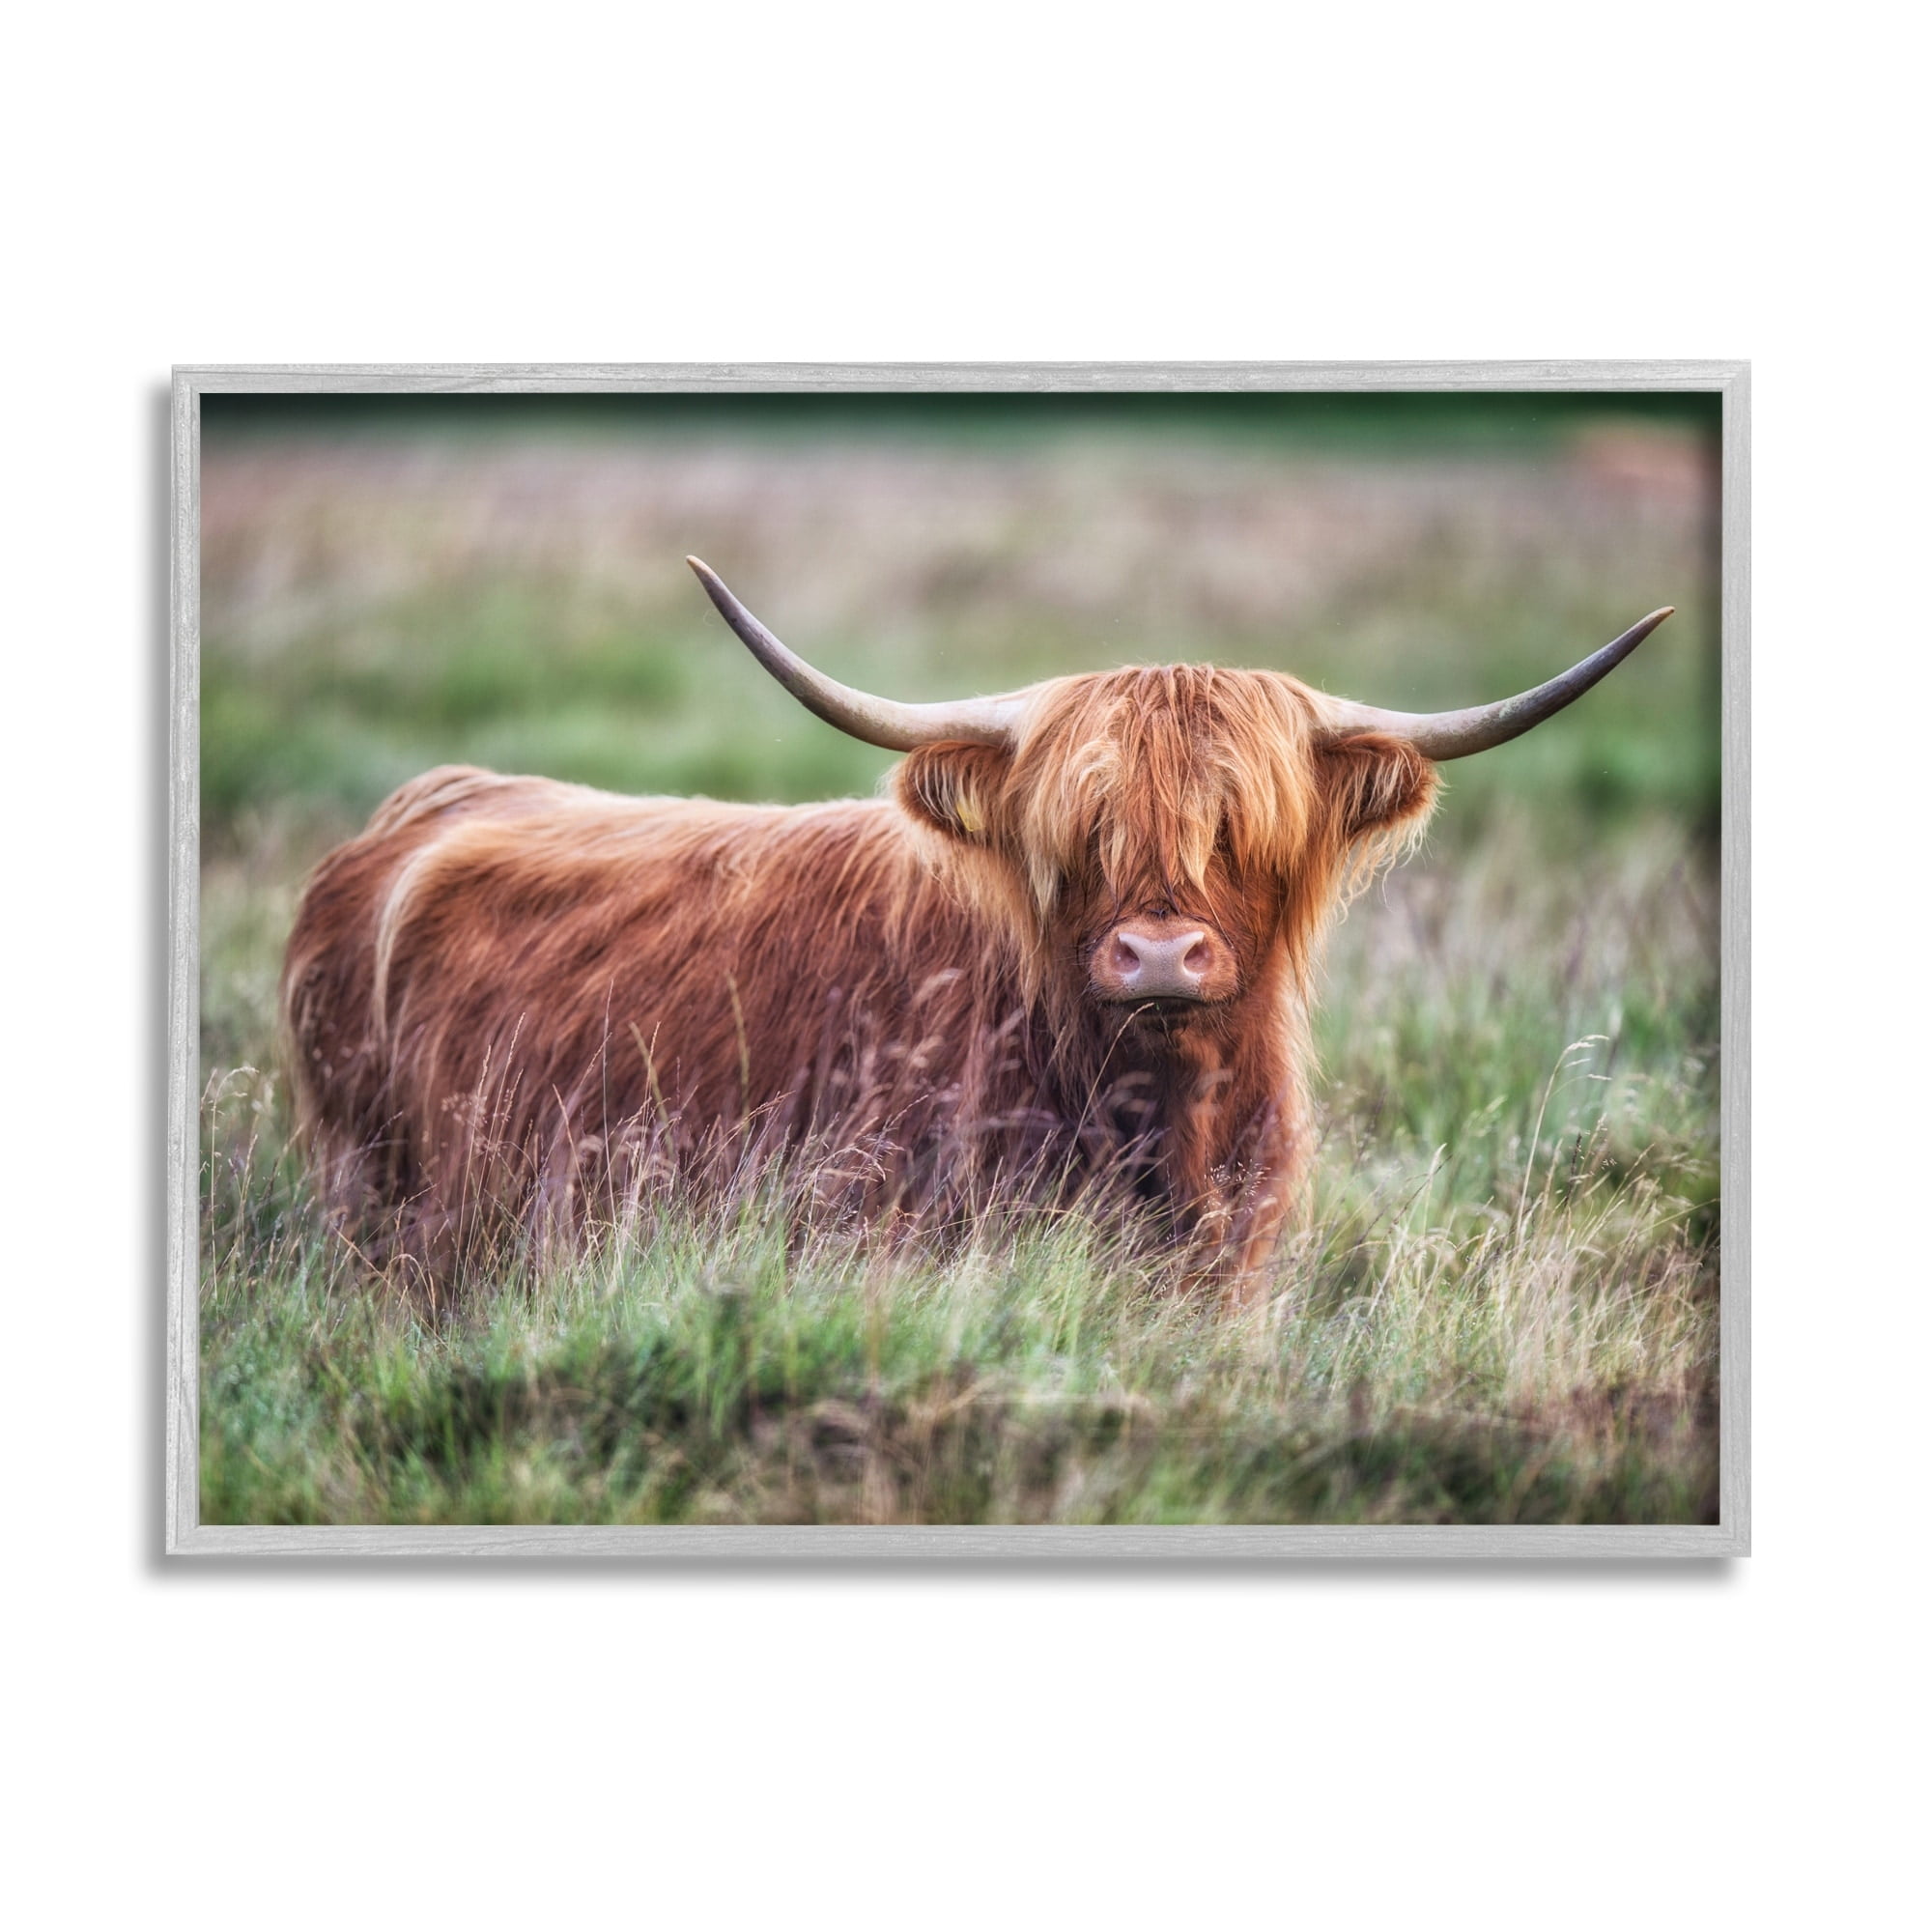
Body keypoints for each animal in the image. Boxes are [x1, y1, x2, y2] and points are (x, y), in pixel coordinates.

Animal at [280, 557, 1671, 1290]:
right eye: (1081, 830)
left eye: (1239, 827)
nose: (1156, 954)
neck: (1154, 1115)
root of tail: (432, 801)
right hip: (373, 1196)